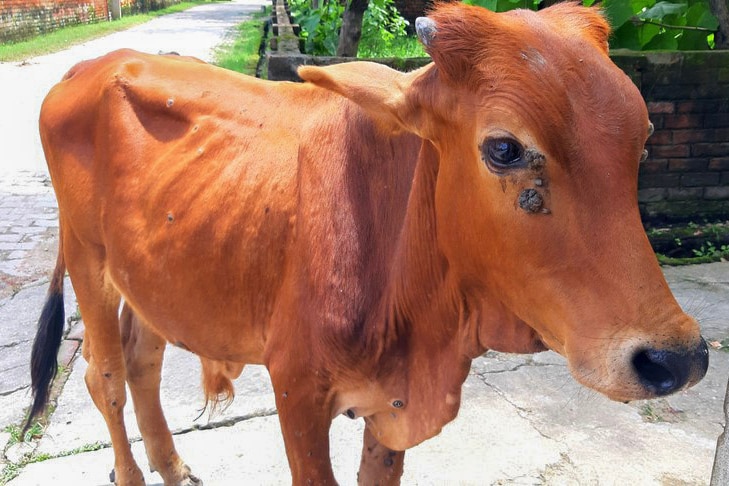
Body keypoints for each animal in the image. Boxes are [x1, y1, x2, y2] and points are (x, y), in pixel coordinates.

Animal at [27, 3, 704, 486]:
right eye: (505, 149)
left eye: (643, 139)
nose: (677, 358)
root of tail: (90, 67)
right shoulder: (296, 393)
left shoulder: (391, 402)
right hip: (87, 260)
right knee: (106, 377)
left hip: (153, 279)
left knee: (144, 362)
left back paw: (173, 466)